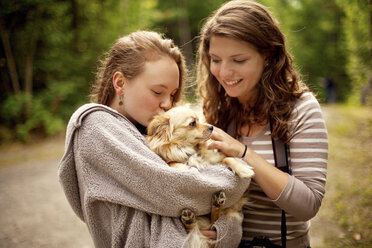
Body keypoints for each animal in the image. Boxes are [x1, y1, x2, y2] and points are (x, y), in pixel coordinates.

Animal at [145, 106, 253, 248]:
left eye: (199, 120)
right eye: (192, 123)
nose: (212, 127)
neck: (188, 150)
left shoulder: (216, 159)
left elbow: (228, 158)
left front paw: (243, 168)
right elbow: (173, 163)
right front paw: (182, 167)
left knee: (214, 222)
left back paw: (216, 202)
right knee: (202, 226)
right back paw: (189, 219)